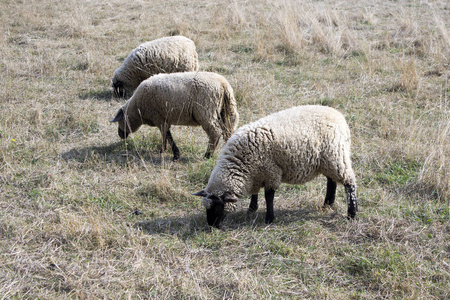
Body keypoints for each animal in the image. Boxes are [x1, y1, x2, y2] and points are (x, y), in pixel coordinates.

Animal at [110, 71, 239, 161]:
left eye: (120, 120)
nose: (120, 135)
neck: (137, 108)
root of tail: (223, 84)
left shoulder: (159, 118)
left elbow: (166, 135)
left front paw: (172, 153)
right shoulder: (163, 118)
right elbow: (166, 135)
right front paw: (166, 150)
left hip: (206, 112)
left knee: (215, 133)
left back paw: (207, 155)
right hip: (225, 112)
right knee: (227, 132)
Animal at [193, 105, 358, 227]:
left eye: (218, 206)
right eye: (206, 207)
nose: (212, 226)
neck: (240, 161)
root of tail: (339, 116)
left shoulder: (271, 171)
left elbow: (269, 196)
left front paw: (269, 218)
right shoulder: (256, 173)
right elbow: (255, 192)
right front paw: (252, 208)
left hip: (336, 155)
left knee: (349, 183)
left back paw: (352, 213)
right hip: (327, 161)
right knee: (331, 181)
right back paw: (327, 204)